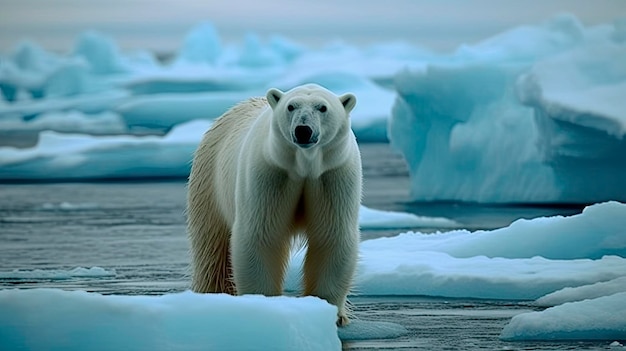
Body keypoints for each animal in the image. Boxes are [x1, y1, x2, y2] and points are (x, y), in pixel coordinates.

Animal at [186, 84, 360, 326]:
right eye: (291, 106)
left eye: (322, 107)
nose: (303, 130)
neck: (304, 165)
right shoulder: (270, 173)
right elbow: (261, 235)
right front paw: (264, 305)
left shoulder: (332, 175)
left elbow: (331, 236)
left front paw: (332, 313)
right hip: (209, 184)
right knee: (212, 248)